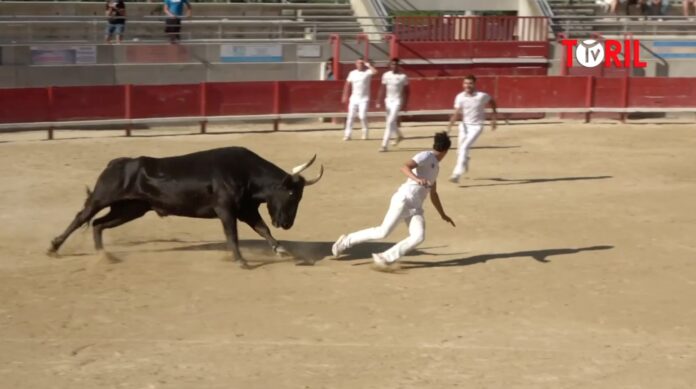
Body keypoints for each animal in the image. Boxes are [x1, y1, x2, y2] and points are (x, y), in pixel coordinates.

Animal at [46, 146, 324, 266]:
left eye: (299, 196)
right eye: (291, 193)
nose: (286, 223)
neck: (247, 173)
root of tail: (116, 162)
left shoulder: (246, 210)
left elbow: (263, 229)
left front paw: (281, 250)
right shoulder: (226, 210)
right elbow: (232, 235)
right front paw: (240, 260)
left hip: (131, 208)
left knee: (98, 224)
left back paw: (104, 255)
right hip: (103, 197)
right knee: (82, 217)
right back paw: (54, 247)